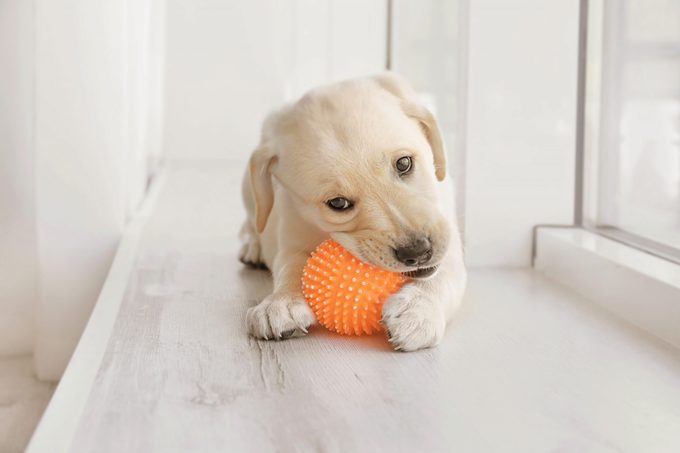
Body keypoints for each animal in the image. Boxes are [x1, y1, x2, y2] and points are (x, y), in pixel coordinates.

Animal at [240, 72, 468, 352]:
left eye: (404, 163)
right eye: (338, 203)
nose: (418, 252)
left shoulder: (448, 241)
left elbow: (440, 275)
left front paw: (417, 309)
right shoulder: (292, 230)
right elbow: (291, 267)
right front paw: (281, 302)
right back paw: (253, 247)